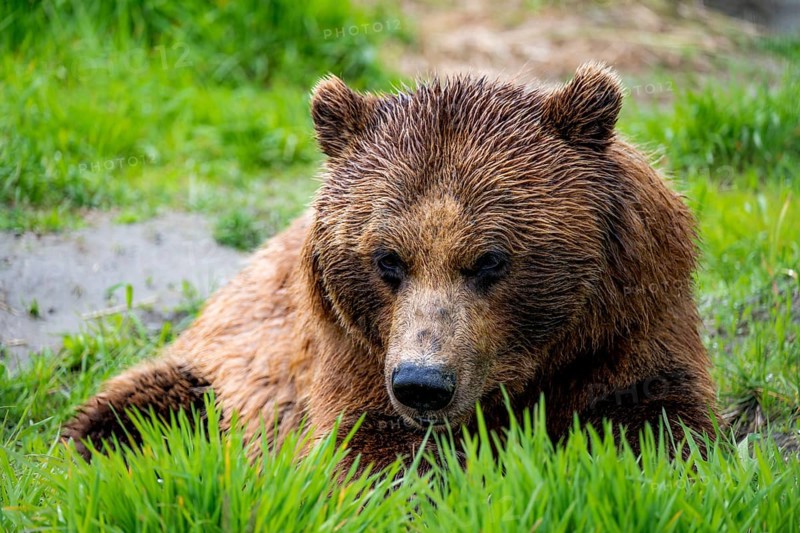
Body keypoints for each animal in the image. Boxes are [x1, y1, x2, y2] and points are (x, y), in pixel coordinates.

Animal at [63, 62, 717, 471]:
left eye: (490, 260)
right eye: (387, 260)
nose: (424, 384)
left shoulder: (628, 326)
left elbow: (657, 423)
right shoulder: (355, 351)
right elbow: (365, 452)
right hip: (219, 367)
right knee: (137, 411)